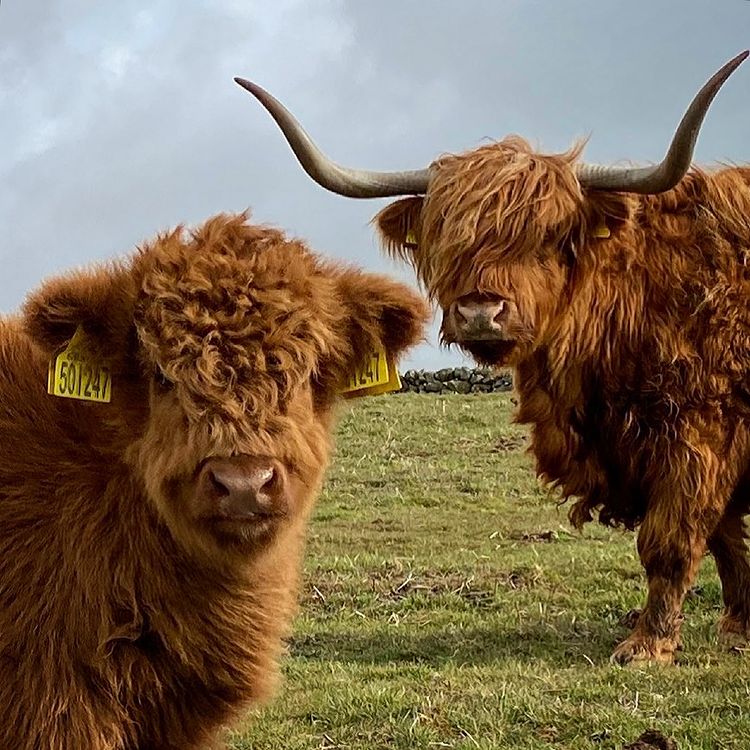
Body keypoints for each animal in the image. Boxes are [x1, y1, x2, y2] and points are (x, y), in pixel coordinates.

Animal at [237, 51, 750, 664]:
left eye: (550, 236)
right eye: (447, 238)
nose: (481, 310)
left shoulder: (697, 434)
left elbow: (672, 541)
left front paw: (647, 646)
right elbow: (725, 538)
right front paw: (737, 627)